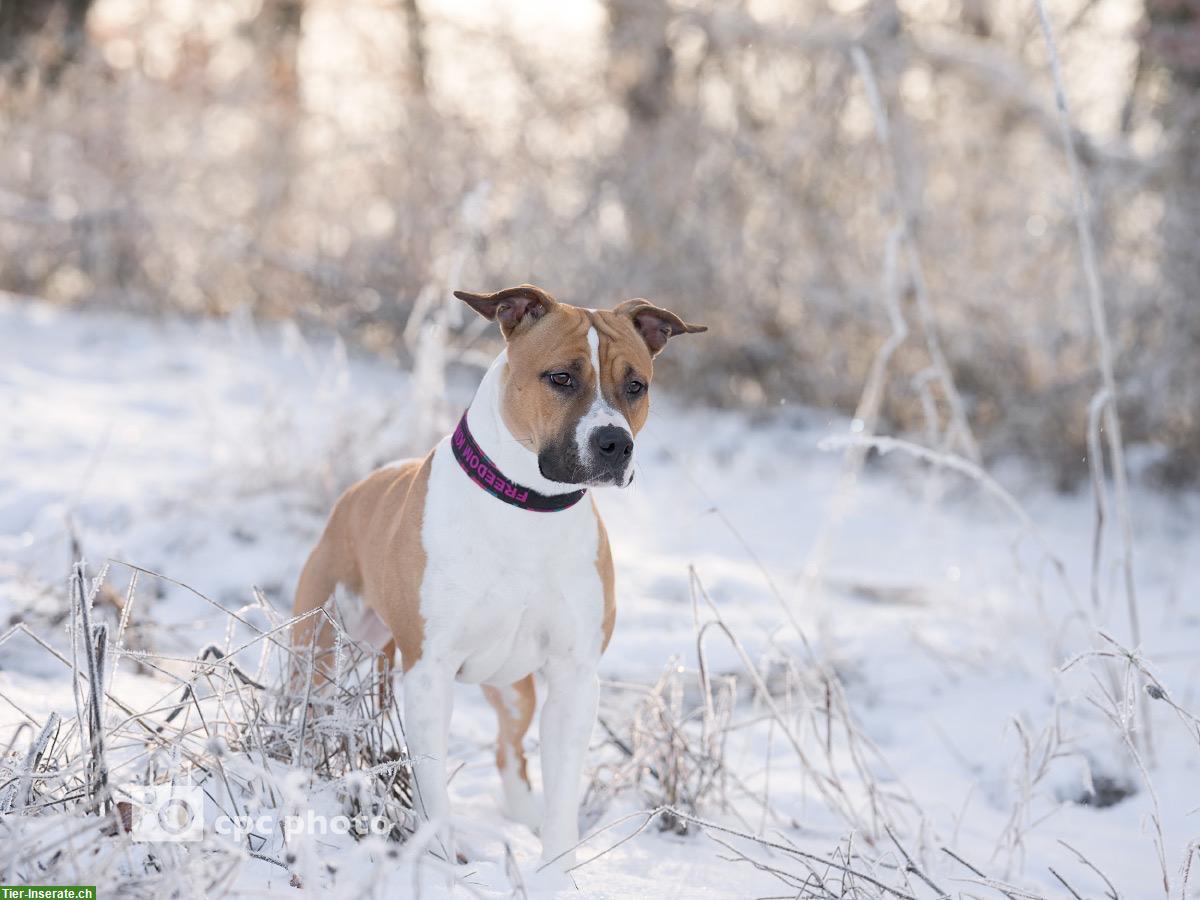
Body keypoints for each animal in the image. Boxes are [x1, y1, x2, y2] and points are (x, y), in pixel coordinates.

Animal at [291, 285, 700, 878]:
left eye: (636, 386)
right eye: (561, 378)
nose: (614, 444)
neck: (527, 506)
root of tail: (358, 489)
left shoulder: (576, 677)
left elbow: (561, 790)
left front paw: (556, 871)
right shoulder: (429, 672)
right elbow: (432, 782)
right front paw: (442, 860)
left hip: (513, 687)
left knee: (510, 748)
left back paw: (522, 815)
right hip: (319, 653)